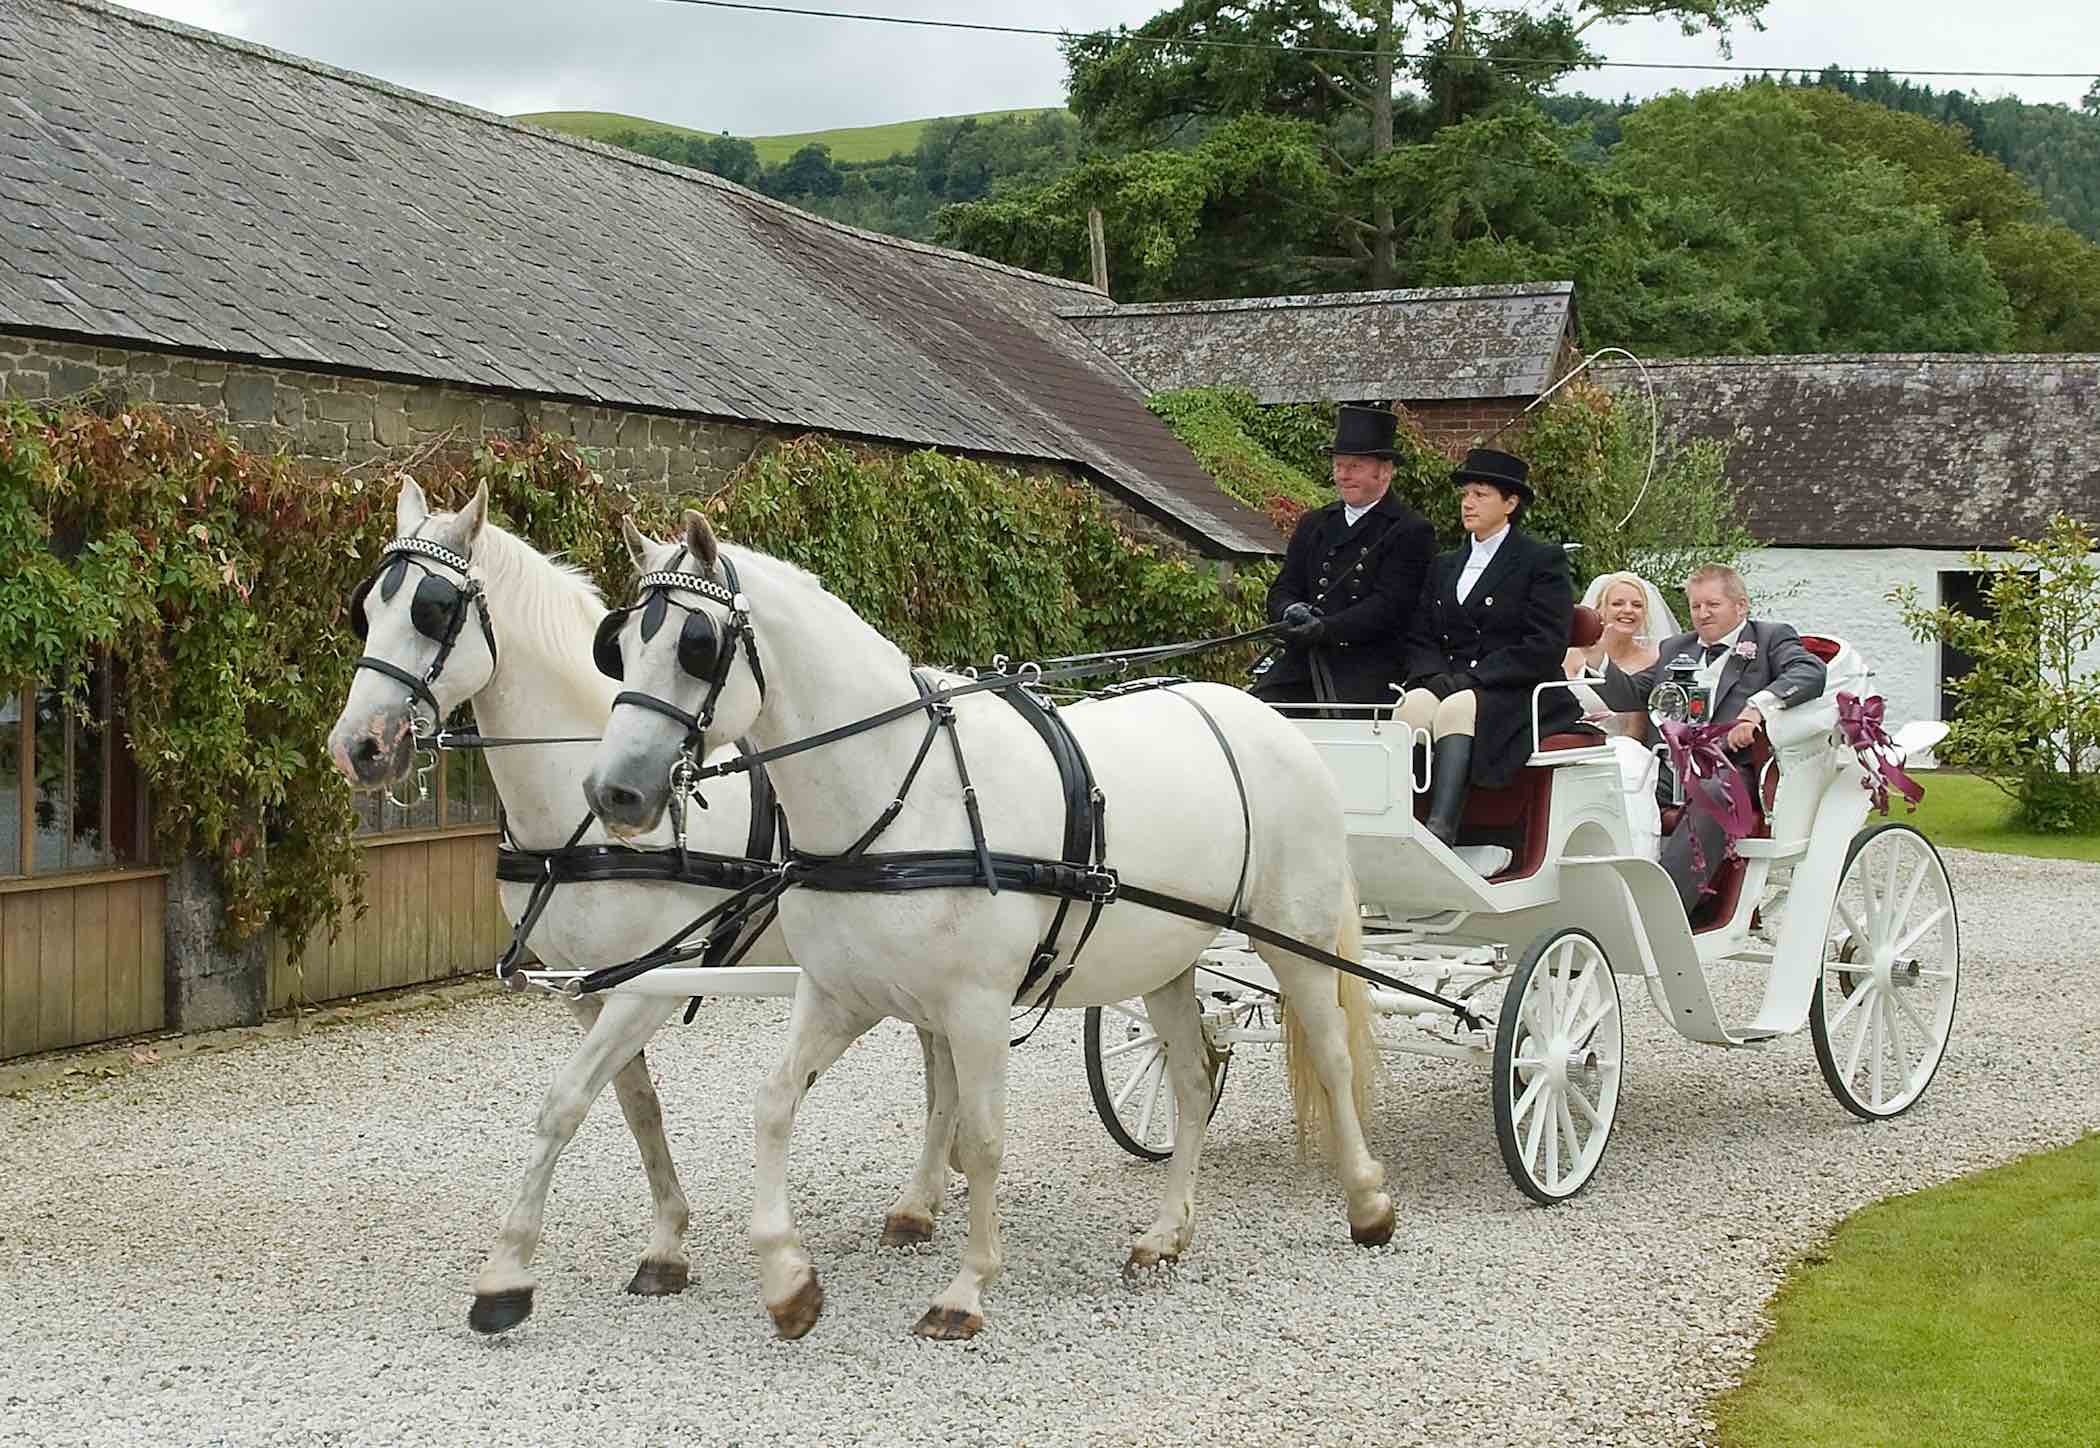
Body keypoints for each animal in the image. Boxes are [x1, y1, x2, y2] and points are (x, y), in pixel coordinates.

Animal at [327, 482, 953, 1334]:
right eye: (366, 608)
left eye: (434, 609)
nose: (358, 746)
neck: (580, 806)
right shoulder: (591, 987)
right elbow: (636, 1106)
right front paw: (667, 1246)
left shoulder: (648, 983)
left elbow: (563, 1104)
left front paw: (505, 1275)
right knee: (939, 1054)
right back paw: (923, 1198)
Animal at [583, 514, 1385, 1334]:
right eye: (619, 644)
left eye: (696, 643)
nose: (613, 792)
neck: (900, 790)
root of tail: (1268, 721)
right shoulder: (842, 995)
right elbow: (775, 1104)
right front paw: (787, 1280)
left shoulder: (976, 1007)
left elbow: (983, 1137)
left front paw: (966, 1288)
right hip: (1167, 960)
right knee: (1193, 1081)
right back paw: (1165, 1234)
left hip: (1298, 940)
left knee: (1332, 1057)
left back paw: (1366, 1201)